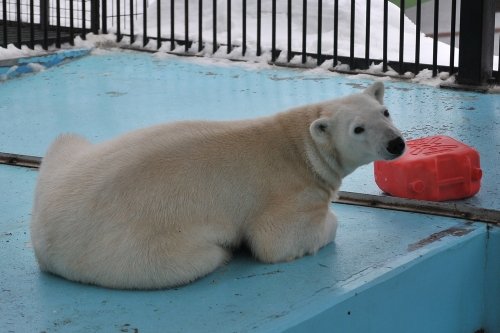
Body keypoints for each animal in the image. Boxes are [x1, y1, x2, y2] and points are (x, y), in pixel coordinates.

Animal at [30, 80, 406, 288]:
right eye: (358, 128)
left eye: (385, 112)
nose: (395, 143)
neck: (300, 144)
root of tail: (43, 238)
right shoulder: (289, 191)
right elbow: (276, 241)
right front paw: (327, 222)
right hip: (141, 251)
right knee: (193, 259)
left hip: (64, 159)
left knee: (66, 139)